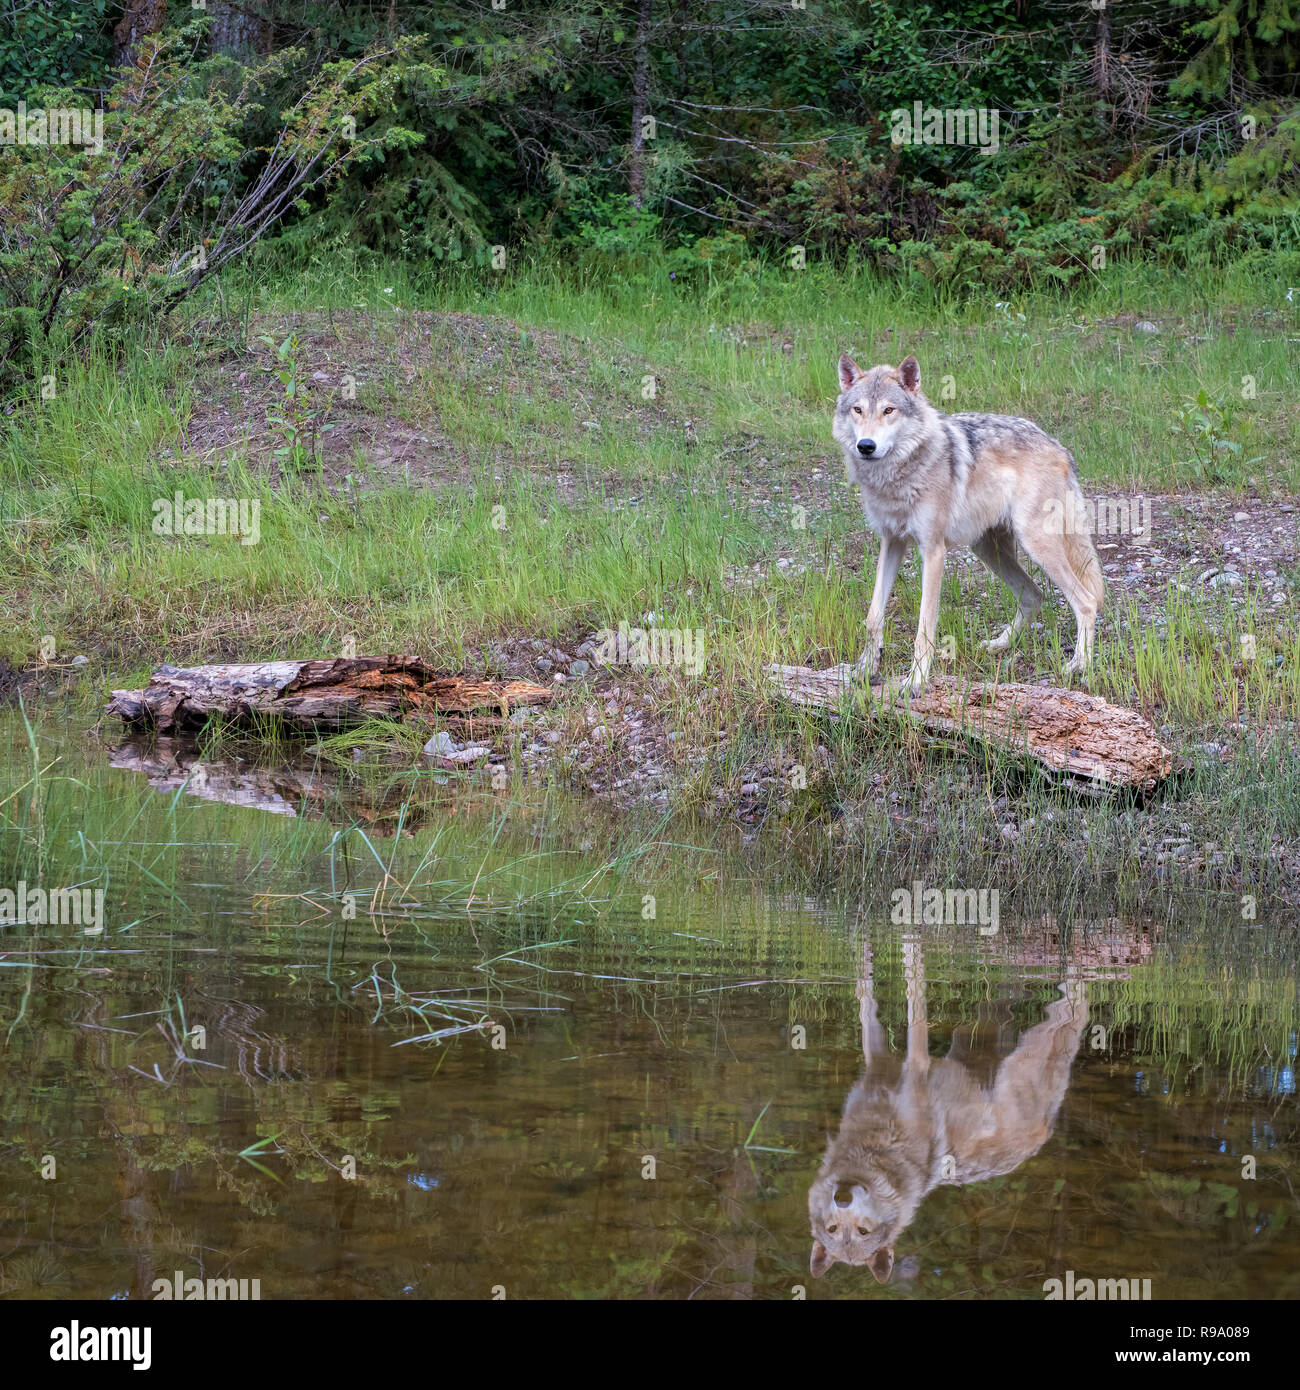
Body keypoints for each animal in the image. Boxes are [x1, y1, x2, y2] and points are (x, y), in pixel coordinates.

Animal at [811, 945, 1090, 1278]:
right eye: (832, 1228)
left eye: (862, 1231)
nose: (842, 1197)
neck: (875, 1146)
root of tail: (1042, 1136)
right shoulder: (877, 1063)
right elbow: (863, 996)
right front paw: (864, 959)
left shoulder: (916, 1061)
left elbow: (912, 986)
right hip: (977, 1033)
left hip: (1032, 1046)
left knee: (1077, 1007)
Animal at [839, 355, 1101, 695]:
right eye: (858, 410)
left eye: (888, 410)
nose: (866, 446)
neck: (899, 475)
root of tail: (1061, 448)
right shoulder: (891, 542)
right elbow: (873, 616)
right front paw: (863, 670)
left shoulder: (933, 552)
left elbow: (925, 628)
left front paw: (915, 681)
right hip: (987, 549)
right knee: (1033, 596)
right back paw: (1000, 644)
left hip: (1035, 544)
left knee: (1086, 602)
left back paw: (1078, 665)